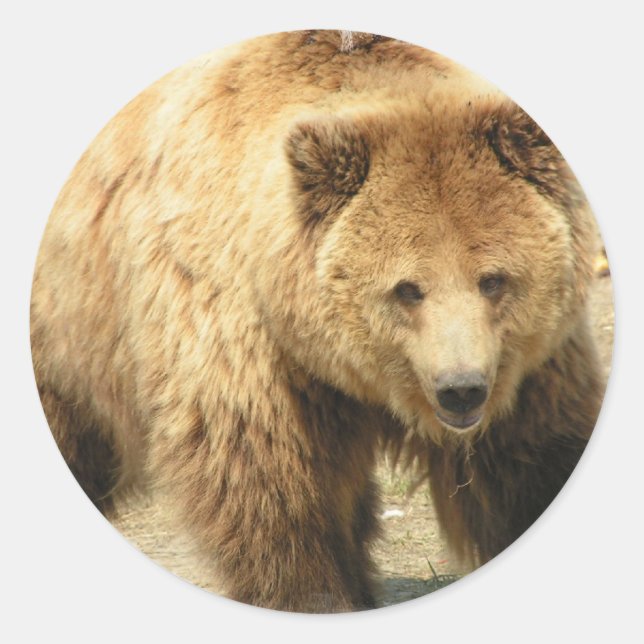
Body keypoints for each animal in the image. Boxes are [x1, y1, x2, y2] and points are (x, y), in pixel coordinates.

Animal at [30, 30, 606, 612]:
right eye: (407, 289)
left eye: (493, 279)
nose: (461, 389)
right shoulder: (244, 344)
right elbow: (270, 492)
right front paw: (314, 597)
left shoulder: (529, 367)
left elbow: (533, 459)